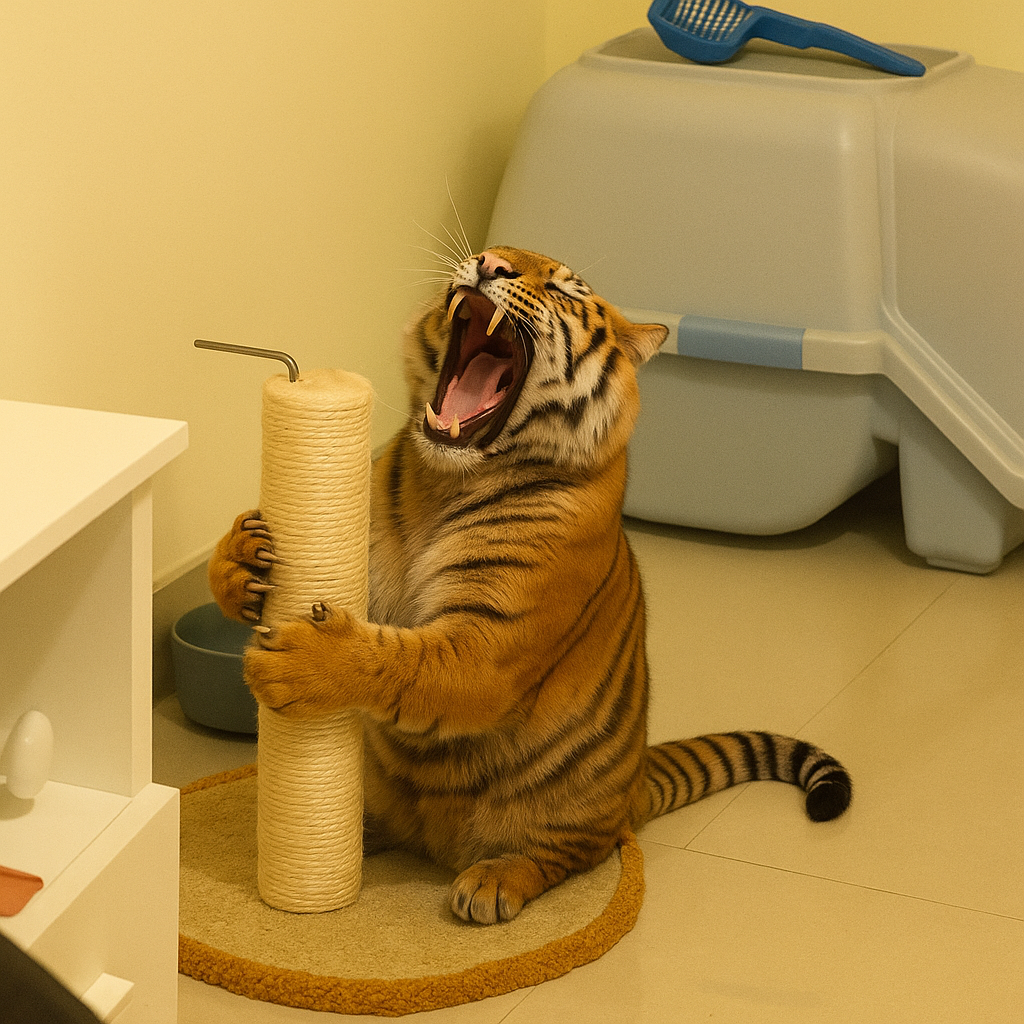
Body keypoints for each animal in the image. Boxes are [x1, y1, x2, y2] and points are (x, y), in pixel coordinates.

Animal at [208, 245, 852, 925]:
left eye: (567, 289)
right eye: (494, 253)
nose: (490, 263)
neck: (442, 480)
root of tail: (636, 783)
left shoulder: (487, 645)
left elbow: (398, 662)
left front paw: (301, 662)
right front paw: (242, 559)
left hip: (564, 809)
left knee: (572, 854)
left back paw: (492, 883)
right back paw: (359, 830)